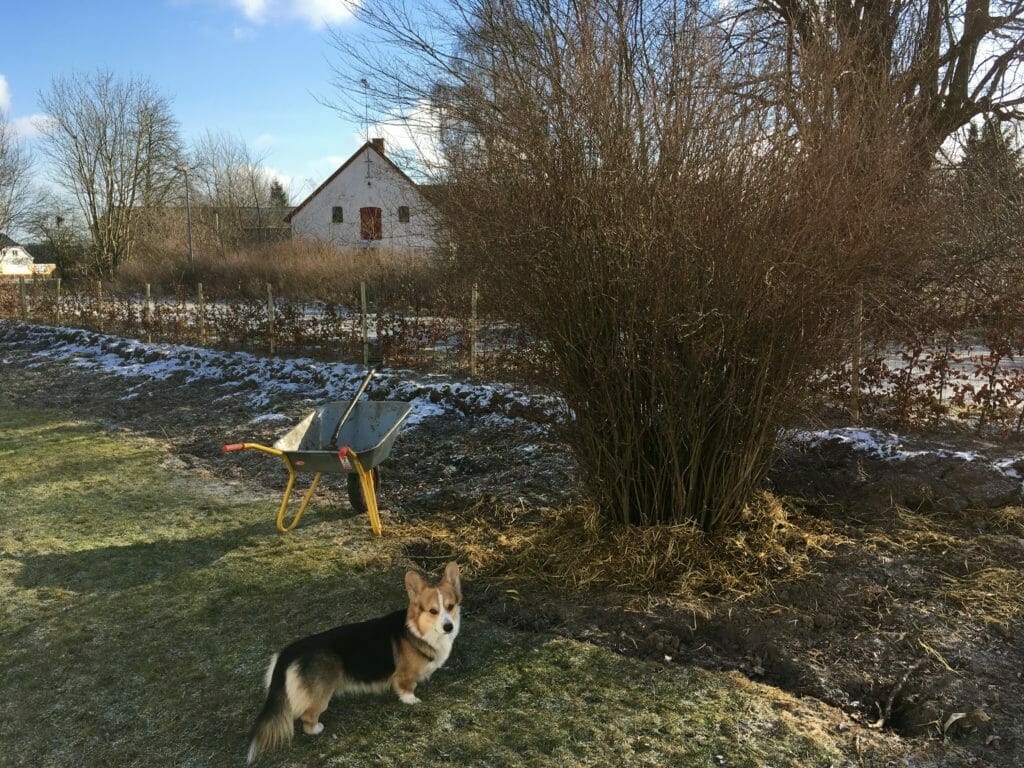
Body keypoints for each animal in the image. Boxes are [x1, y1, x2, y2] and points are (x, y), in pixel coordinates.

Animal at [245, 561, 462, 765]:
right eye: (433, 611)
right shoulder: (404, 676)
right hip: (321, 696)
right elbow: (407, 688)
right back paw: (316, 728)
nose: (448, 627)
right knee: (307, 717)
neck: (418, 630)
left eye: (450, 606)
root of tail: (290, 651)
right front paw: (412, 700)